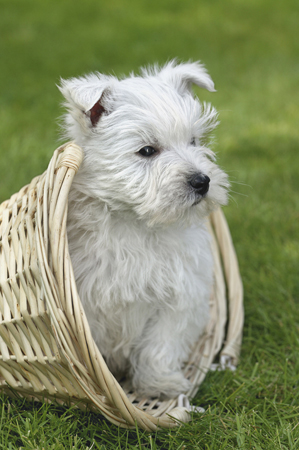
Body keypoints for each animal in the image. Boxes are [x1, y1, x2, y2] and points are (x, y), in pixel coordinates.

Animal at [59, 60, 230, 398]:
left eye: (194, 142)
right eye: (147, 151)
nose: (202, 181)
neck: (136, 222)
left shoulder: (180, 297)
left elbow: (160, 345)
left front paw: (160, 384)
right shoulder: (85, 304)